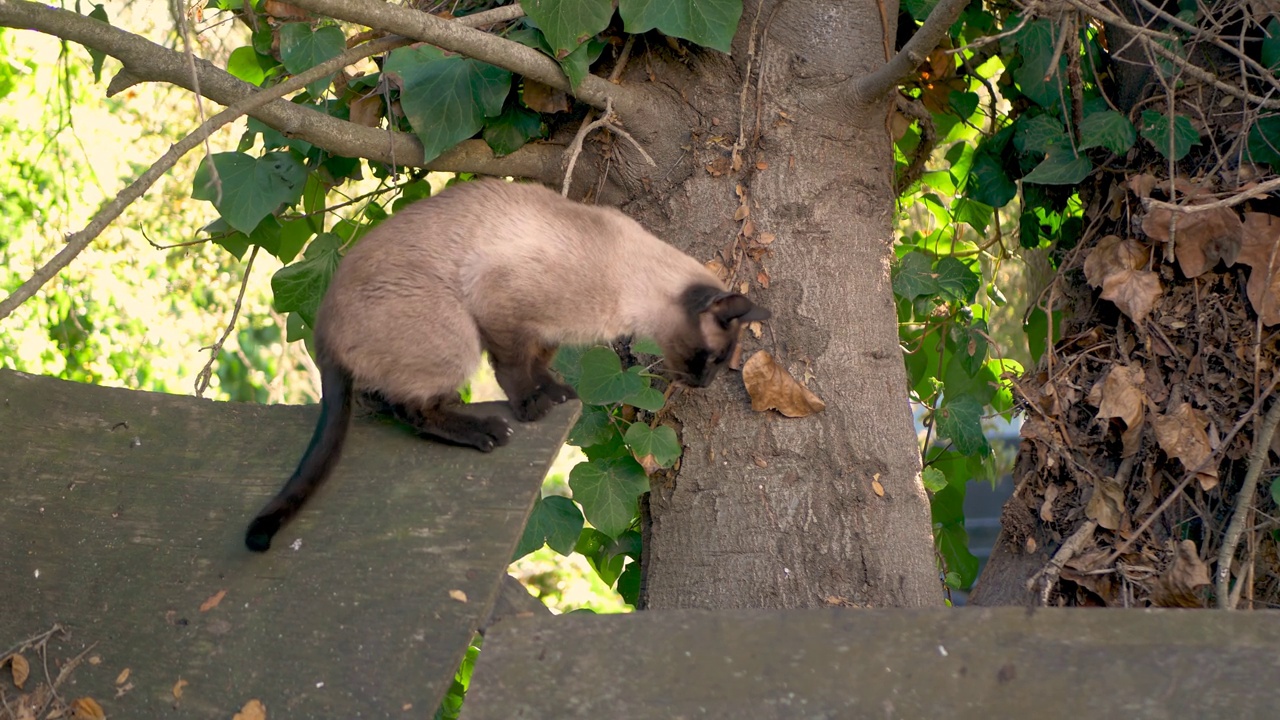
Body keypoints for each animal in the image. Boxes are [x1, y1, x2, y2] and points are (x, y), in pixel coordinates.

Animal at [248, 179, 768, 548]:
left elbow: (539, 366)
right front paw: (532, 407)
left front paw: (556, 394)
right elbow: (515, 372)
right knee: (413, 411)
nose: (704, 383)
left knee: (385, 398)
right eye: (712, 358)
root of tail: (323, 328)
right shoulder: (503, 310)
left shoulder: (546, 332)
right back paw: (483, 432)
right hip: (456, 330)